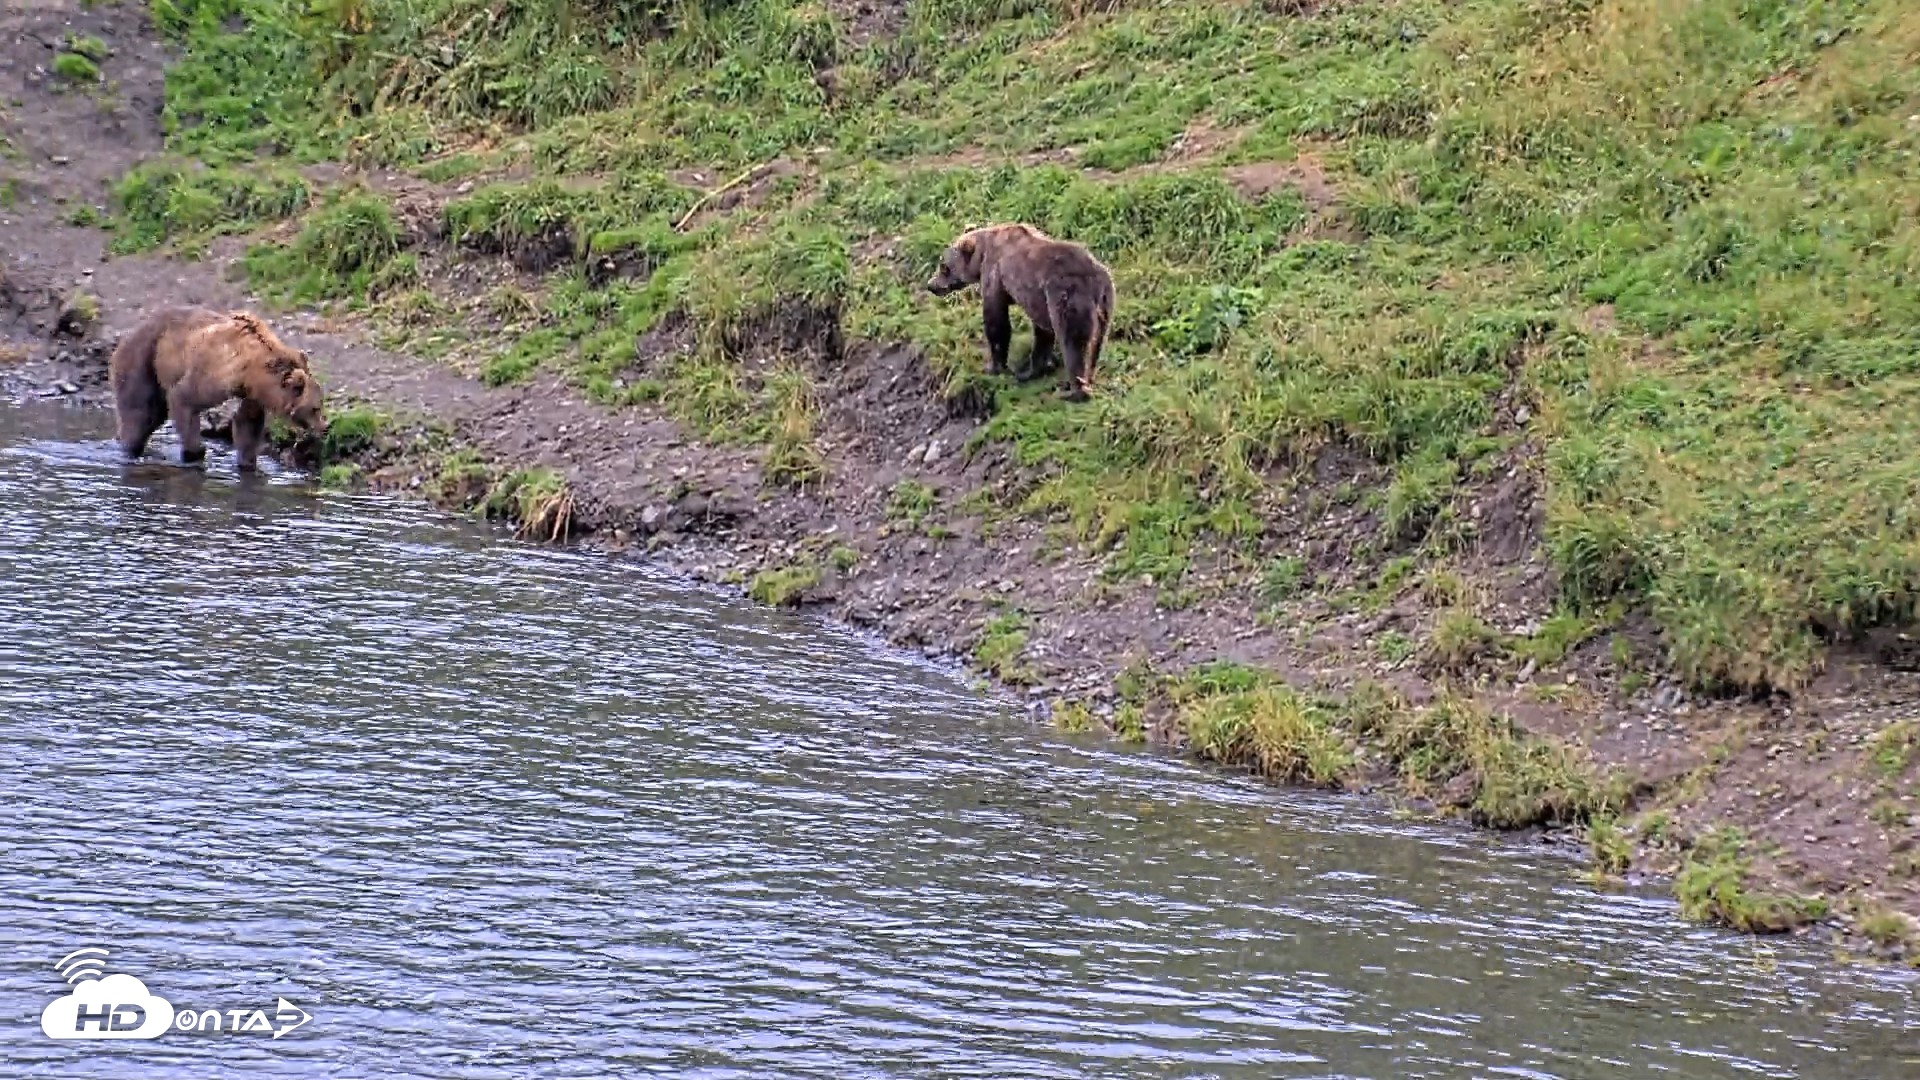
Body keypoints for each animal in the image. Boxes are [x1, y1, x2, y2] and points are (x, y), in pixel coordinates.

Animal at [108, 306, 327, 472]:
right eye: (315, 408)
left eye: (320, 405)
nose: (324, 427)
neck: (253, 371)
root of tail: (128, 333)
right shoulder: (215, 374)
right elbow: (184, 399)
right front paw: (195, 452)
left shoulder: (253, 394)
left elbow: (248, 424)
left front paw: (248, 462)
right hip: (145, 356)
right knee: (140, 410)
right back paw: (129, 448)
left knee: (154, 414)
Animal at [925, 222, 1116, 402]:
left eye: (943, 266)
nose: (931, 285)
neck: (981, 255)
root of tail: (1095, 282)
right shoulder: (1039, 301)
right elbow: (1042, 333)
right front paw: (1032, 370)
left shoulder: (995, 274)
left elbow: (996, 321)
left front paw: (994, 367)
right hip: (1105, 303)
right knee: (1096, 343)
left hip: (1067, 296)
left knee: (1074, 342)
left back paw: (1074, 391)